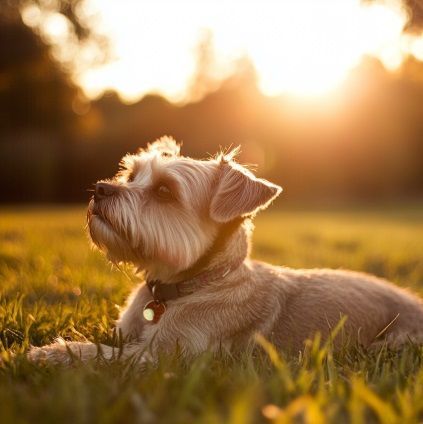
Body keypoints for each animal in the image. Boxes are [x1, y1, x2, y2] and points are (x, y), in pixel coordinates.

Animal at [28, 137, 423, 364]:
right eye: (131, 175)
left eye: (164, 191)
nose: (100, 188)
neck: (191, 284)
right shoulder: (126, 333)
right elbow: (105, 341)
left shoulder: (162, 356)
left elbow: (100, 354)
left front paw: (47, 352)